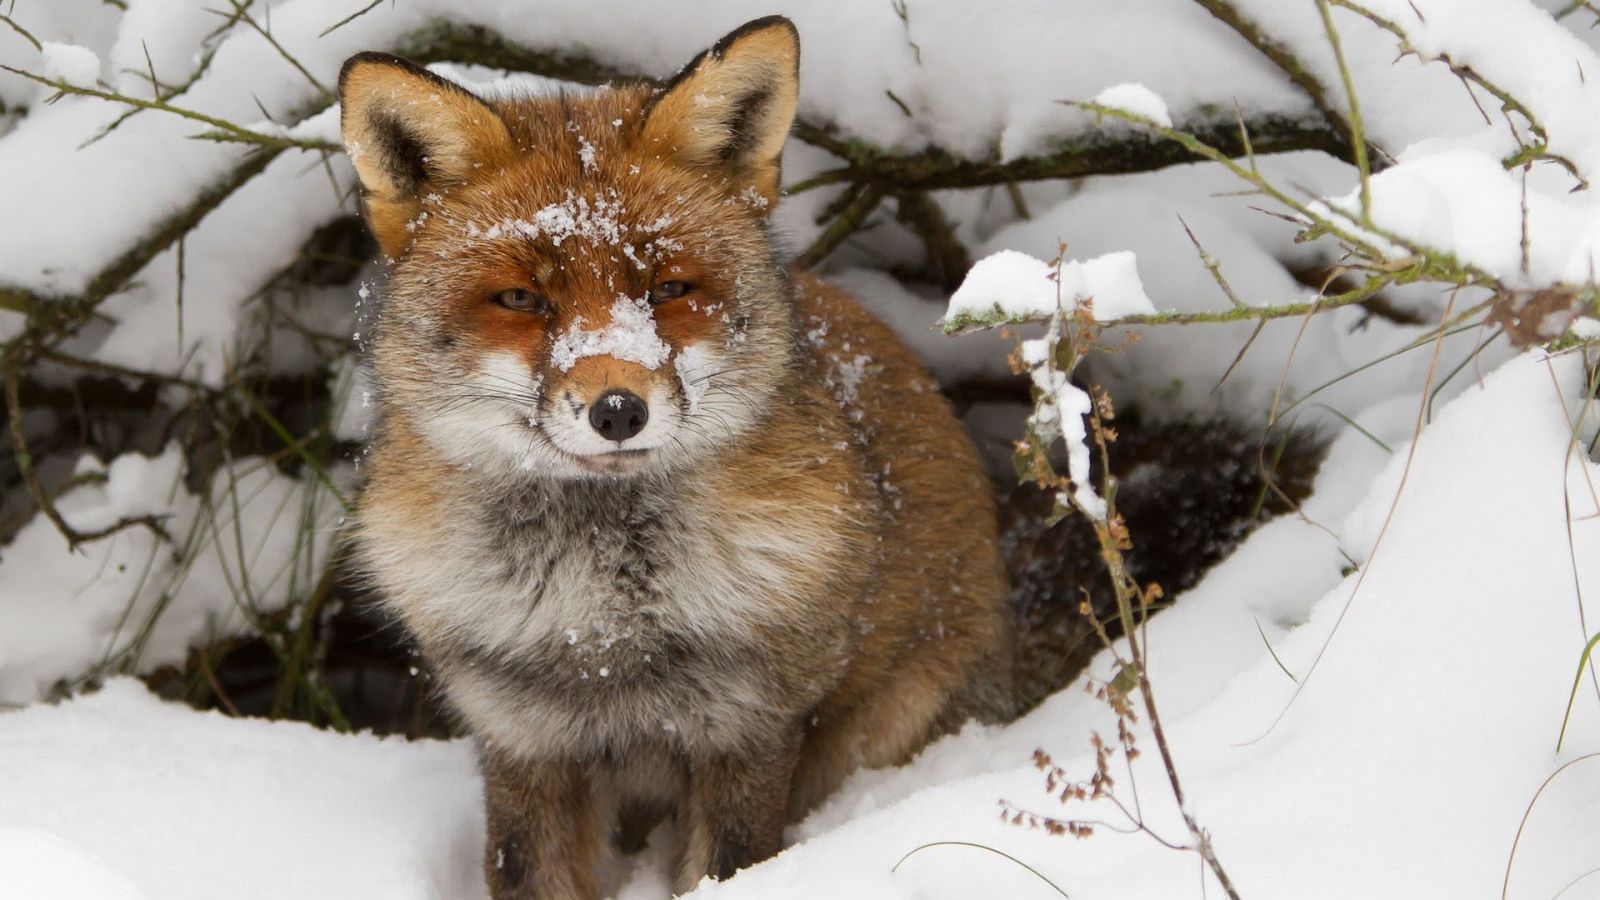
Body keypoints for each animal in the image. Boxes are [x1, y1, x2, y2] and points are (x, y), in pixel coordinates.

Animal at [340, 15, 1013, 900]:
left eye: (667, 289)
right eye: (522, 298)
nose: (618, 411)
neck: (602, 629)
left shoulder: (747, 725)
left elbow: (726, 866)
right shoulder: (521, 737)